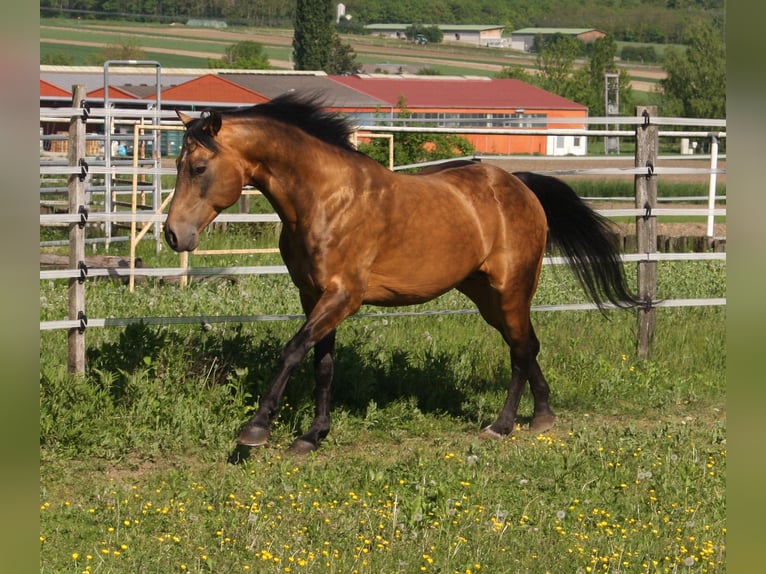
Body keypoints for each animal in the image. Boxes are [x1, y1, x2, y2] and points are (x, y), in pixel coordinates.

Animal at [164, 92, 639, 454]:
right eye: (178, 166)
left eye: (199, 168)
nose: (173, 234)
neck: (325, 199)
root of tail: (519, 185)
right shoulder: (314, 295)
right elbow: (323, 364)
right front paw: (313, 436)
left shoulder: (343, 296)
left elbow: (293, 351)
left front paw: (256, 429)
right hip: (485, 296)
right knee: (525, 345)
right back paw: (541, 416)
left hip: (511, 289)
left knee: (521, 350)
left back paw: (502, 425)